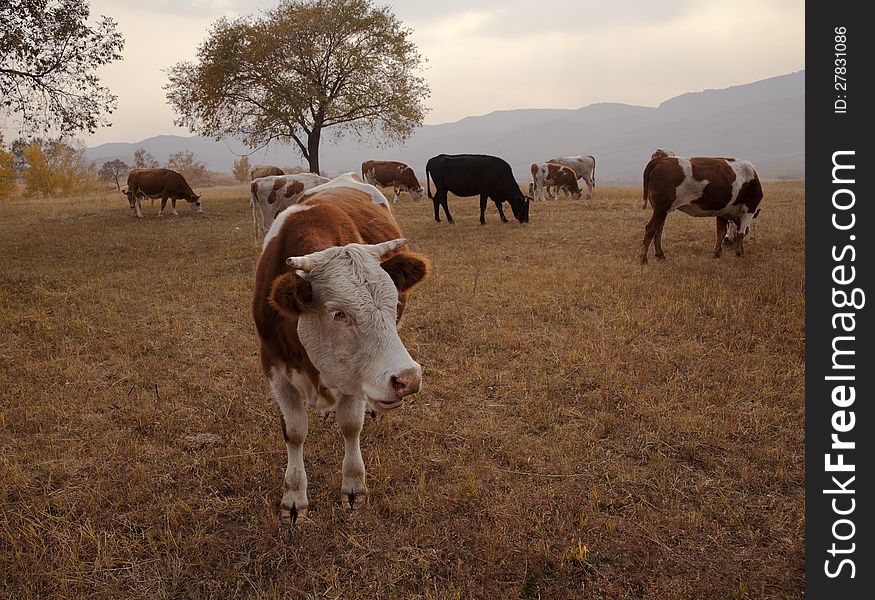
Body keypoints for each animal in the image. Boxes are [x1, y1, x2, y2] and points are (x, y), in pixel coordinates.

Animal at [253, 190, 432, 524]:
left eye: (394, 303)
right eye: (339, 313)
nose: (408, 379)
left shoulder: (355, 379)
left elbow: (350, 425)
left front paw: (353, 486)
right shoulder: (274, 367)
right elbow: (294, 431)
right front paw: (294, 496)